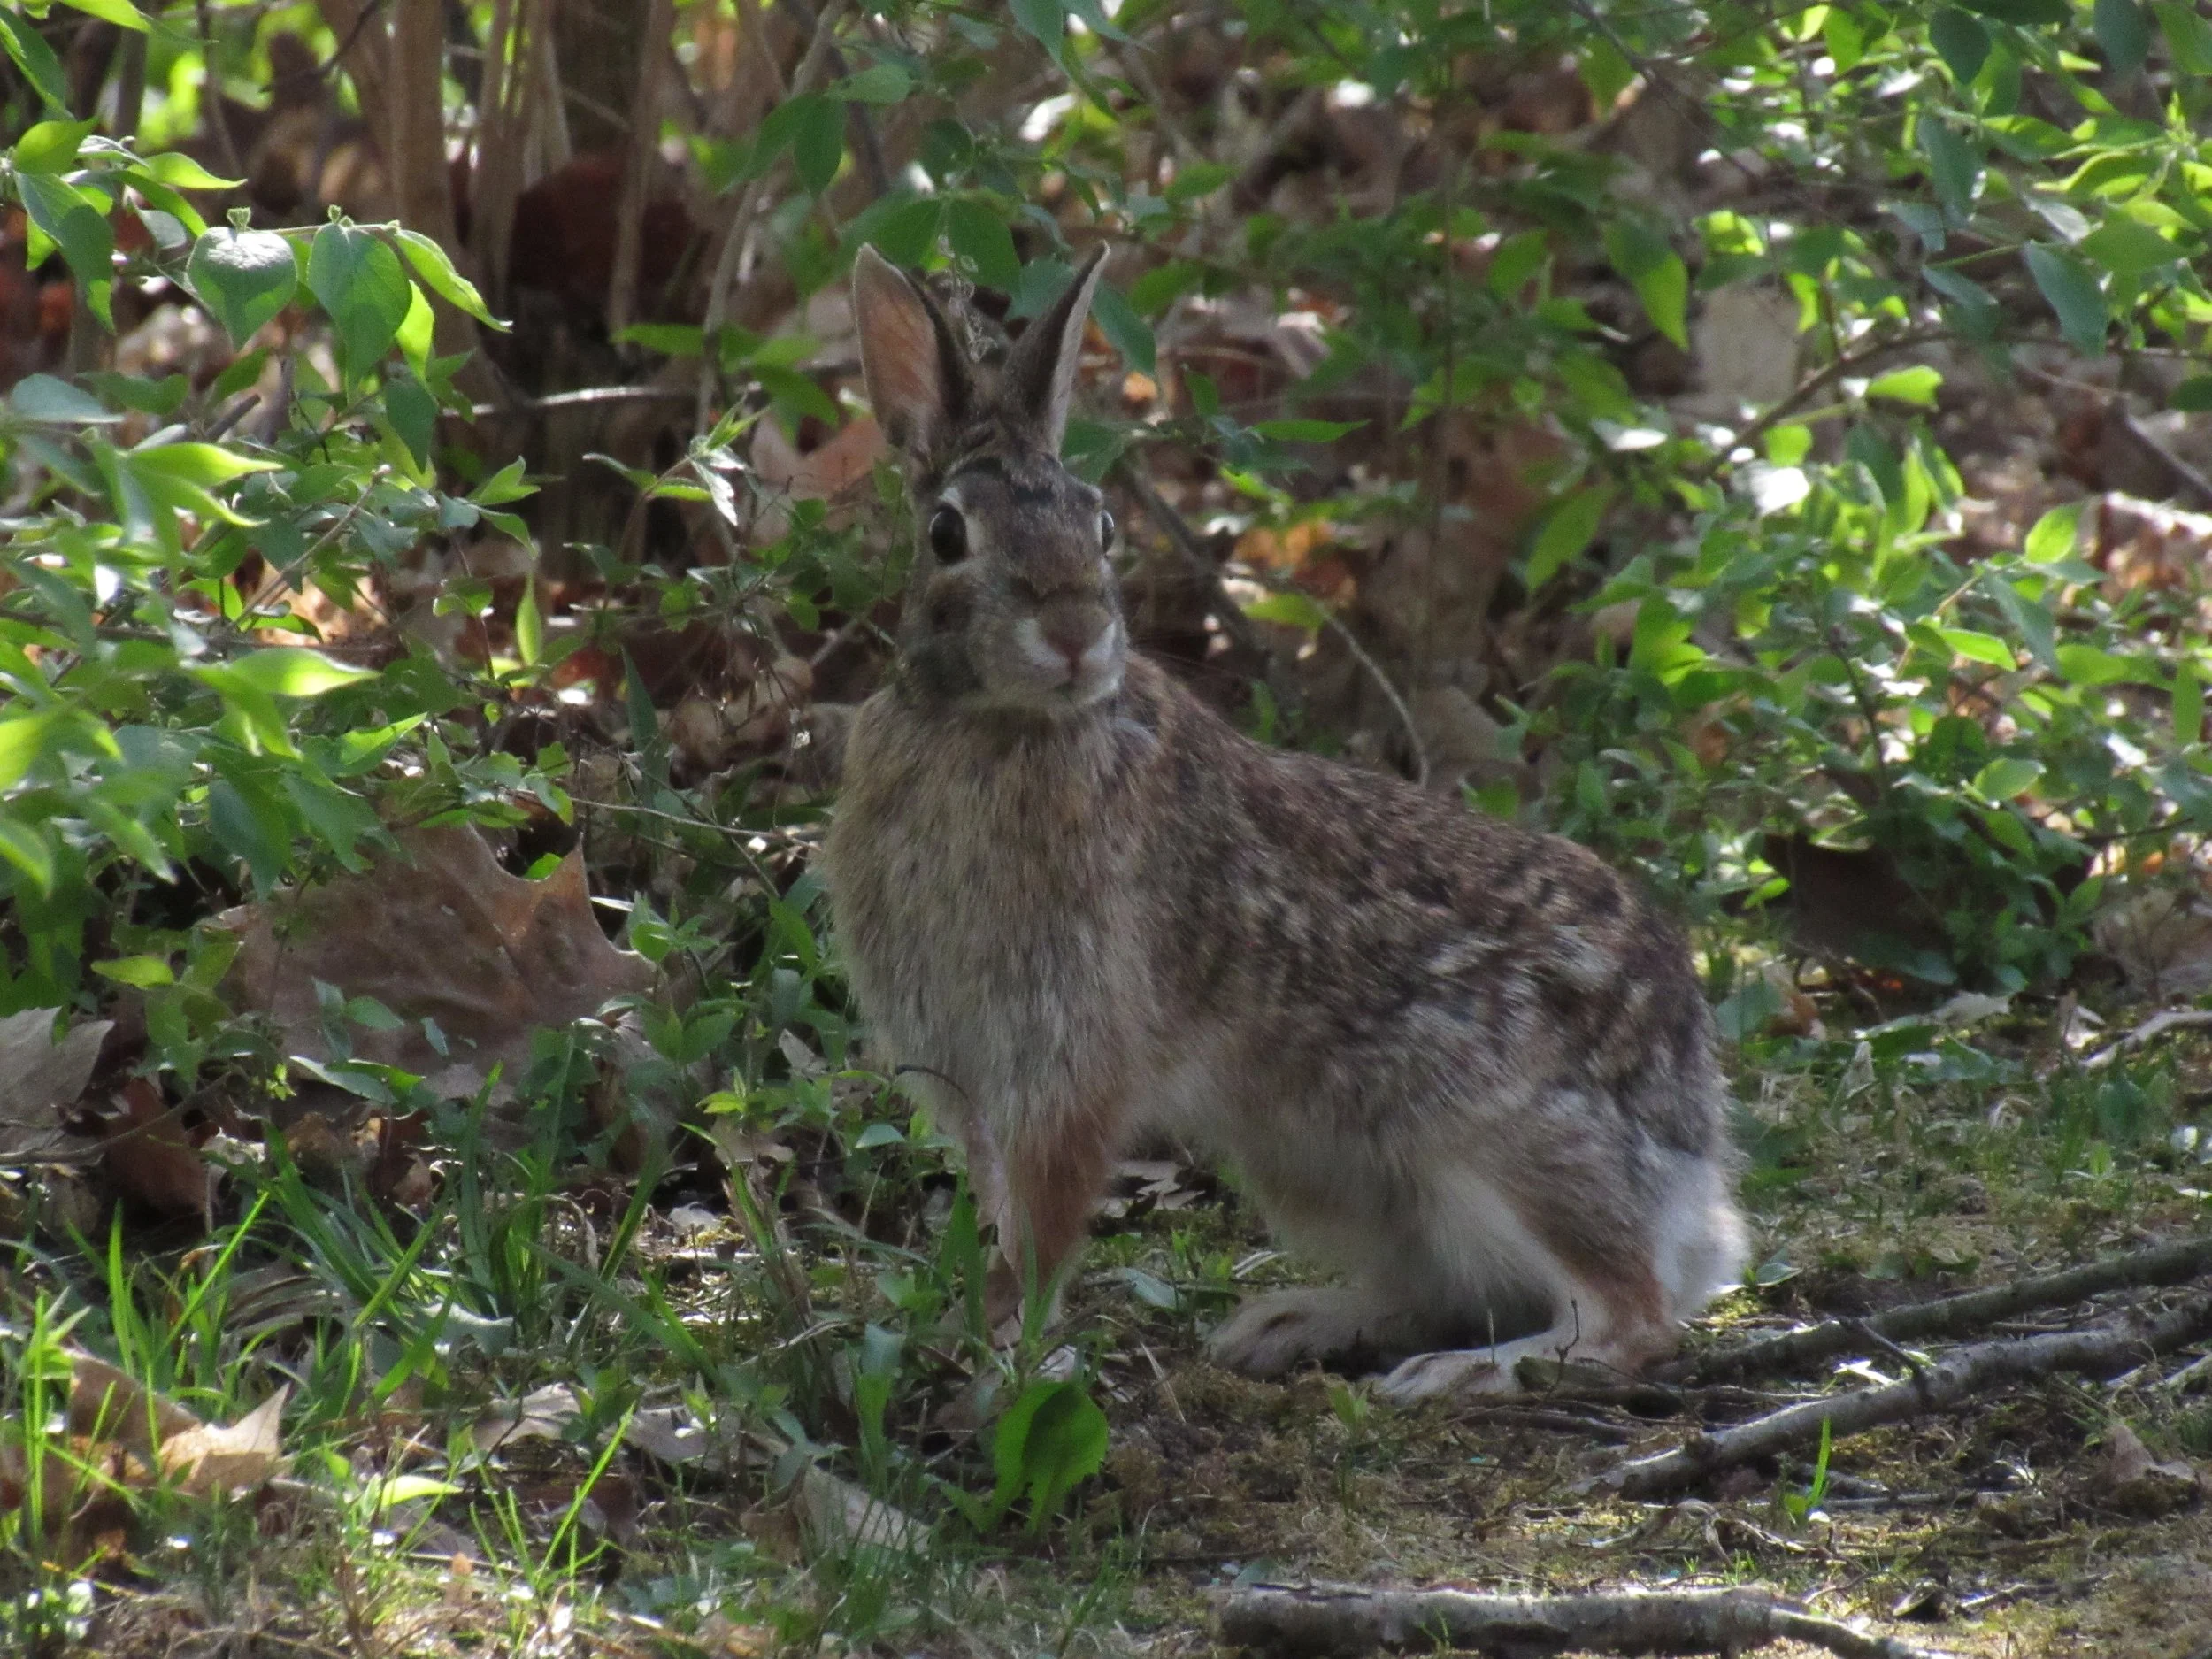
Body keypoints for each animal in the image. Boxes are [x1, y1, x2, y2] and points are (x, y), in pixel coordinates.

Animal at [822, 243, 1749, 1401]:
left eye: (1102, 525)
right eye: (946, 533)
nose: (1075, 631)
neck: (994, 725)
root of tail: (1695, 1156)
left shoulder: (1072, 1055)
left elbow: (1043, 1217)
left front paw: (1014, 1359)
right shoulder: (966, 1070)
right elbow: (997, 1207)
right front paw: (983, 1338)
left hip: (1500, 1143)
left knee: (1630, 1319)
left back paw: (1460, 1375)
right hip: (1324, 1169)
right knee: (1452, 1290)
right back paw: (1292, 1324)